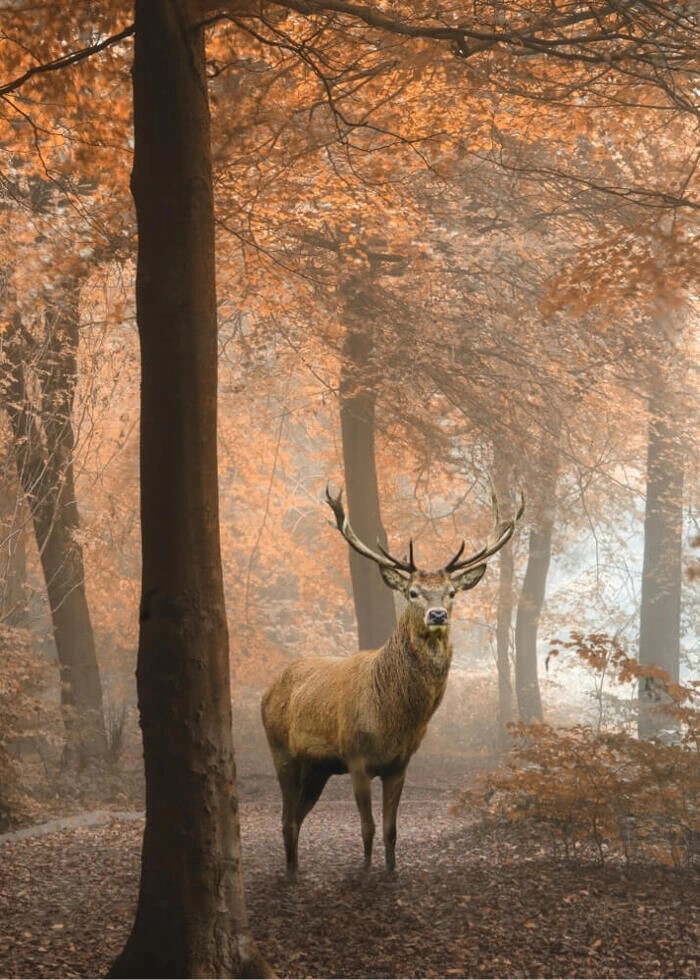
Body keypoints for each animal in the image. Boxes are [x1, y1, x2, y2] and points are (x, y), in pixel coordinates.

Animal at [260, 482, 524, 872]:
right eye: (412, 592)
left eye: (452, 591)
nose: (438, 614)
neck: (392, 717)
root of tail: (268, 689)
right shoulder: (355, 758)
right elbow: (367, 829)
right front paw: (366, 872)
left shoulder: (400, 764)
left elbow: (390, 831)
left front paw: (390, 872)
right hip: (281, 750)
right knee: (287, 818)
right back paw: (291, 874)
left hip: (317, 768)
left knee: (294, 817)